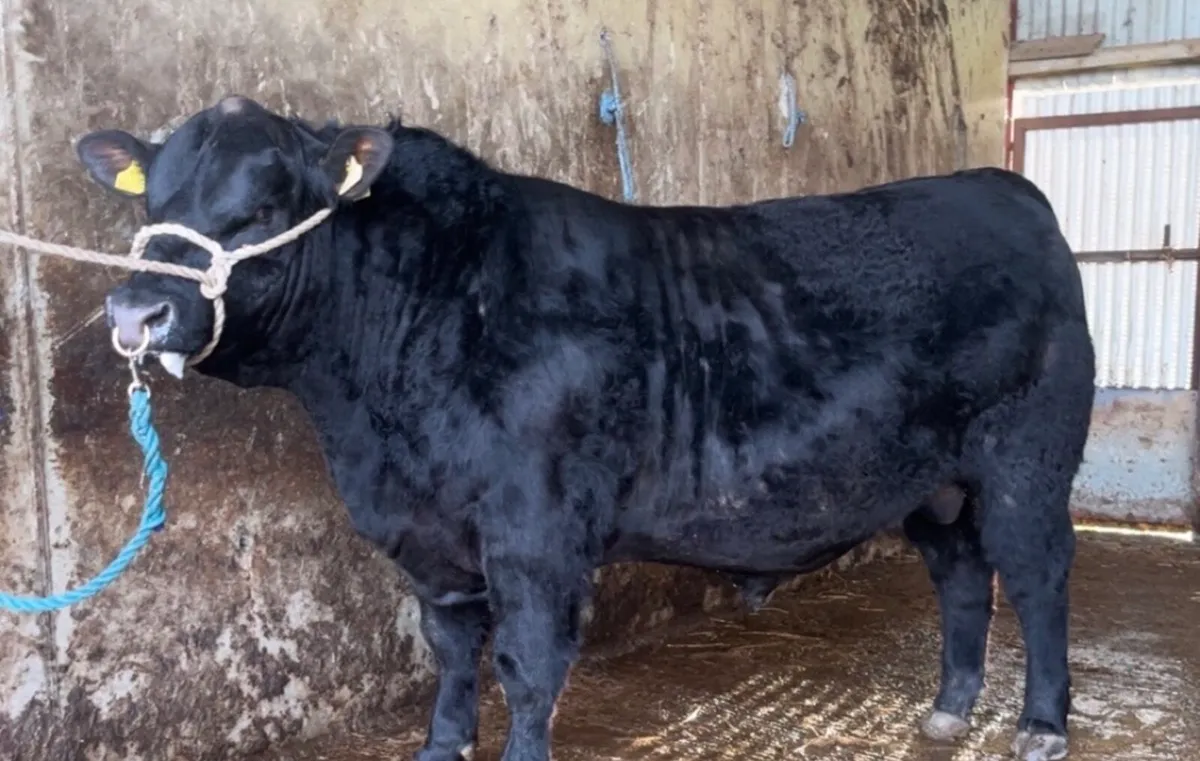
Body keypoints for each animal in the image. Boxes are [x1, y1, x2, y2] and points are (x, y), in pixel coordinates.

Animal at [77, 94, 1095, 761]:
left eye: (260, 207)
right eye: (150, 202)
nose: (136, 312)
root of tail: (998, 185)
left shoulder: (537, 530)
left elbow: (527, 667)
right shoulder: (430, 536)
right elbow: (452, 653)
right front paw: (441, 748)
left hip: (1027, 458)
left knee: (1037, 574)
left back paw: (1041, 724)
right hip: (931, 476)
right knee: (960, 573)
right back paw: (950, 709)